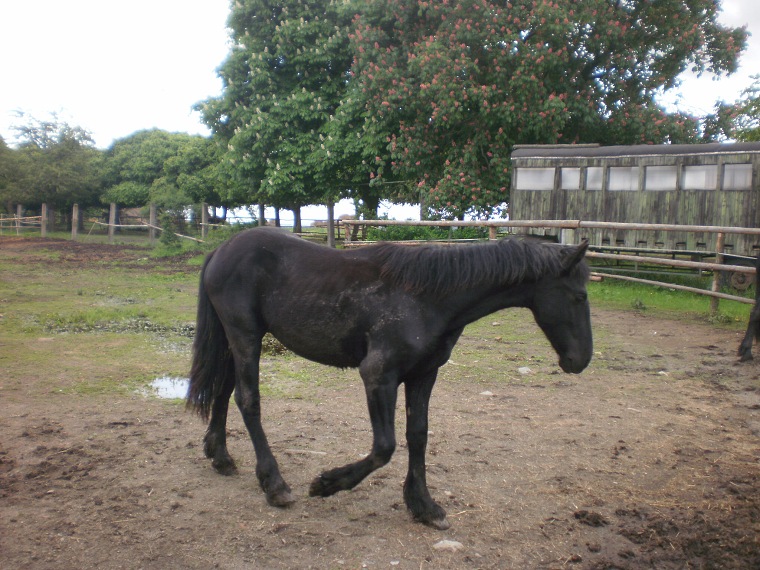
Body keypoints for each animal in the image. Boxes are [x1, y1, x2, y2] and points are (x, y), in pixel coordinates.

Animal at [187, 226, 592, 528]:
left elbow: (418, 436)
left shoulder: (423, 375)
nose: (581, 360)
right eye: (578, 296)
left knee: (223, 390)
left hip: (233, 339)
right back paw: (275, 485)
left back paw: (220, 457)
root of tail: (222, 249)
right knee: (247, 400)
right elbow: (385, 446)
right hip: (245, 336)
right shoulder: (378, 376)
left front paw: (424, 505)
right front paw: (327, 484)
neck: (427, 298)